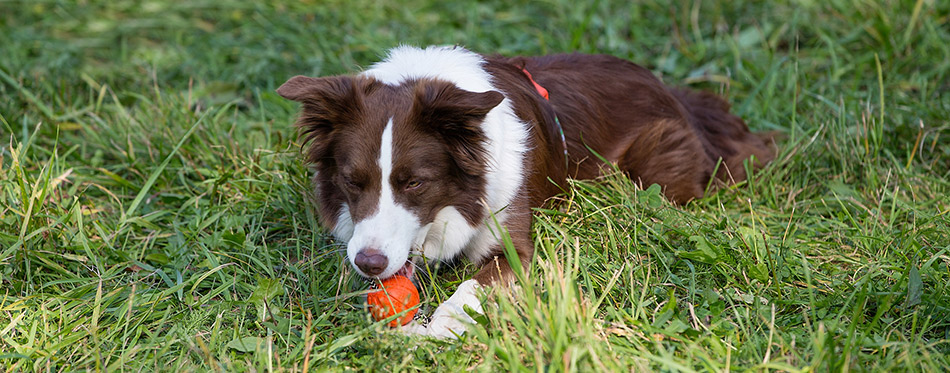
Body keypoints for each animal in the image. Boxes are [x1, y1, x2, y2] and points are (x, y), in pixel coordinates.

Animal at [278, 44, 776, 338]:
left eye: (415, 182)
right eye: (352, 181)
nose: (371, 263)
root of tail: (675, 94)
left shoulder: (513, 240)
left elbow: (474, 286)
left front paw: (441, 326)